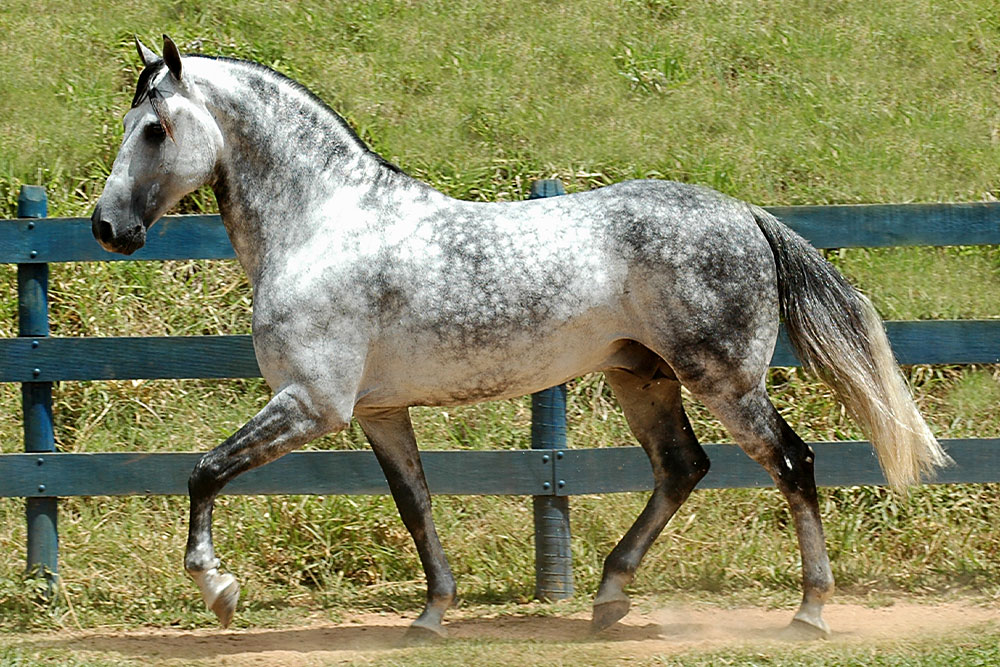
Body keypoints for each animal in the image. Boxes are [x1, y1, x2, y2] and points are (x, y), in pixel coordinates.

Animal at [90, 37, 948, 640]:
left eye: (156, 129)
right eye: (130, 124)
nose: (107, 226)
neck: (324, 225)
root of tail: (743, 212)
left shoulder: (312, 404)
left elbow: (204, 471)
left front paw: (218, 589)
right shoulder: (377, 412)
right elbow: (416, 504)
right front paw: (432, 614)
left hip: (725, 379)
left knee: (793, 463)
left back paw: (809, 611)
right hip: (642, 378)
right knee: (682, 467)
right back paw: (608, 596)